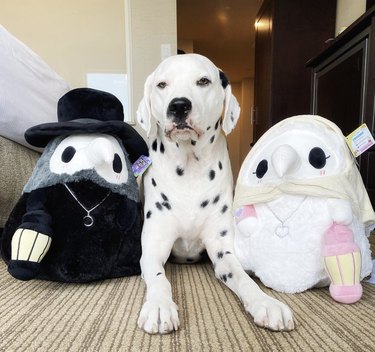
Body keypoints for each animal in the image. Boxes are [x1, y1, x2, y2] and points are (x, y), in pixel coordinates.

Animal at [137, 53, 296, 334]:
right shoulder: (153, 247)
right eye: (162, 84)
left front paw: (265, 302)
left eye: (203, 81)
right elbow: (158, 279)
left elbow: (243, 278)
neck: (188, 169)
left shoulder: (223, 251)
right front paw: (158, 305)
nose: (179, 106)